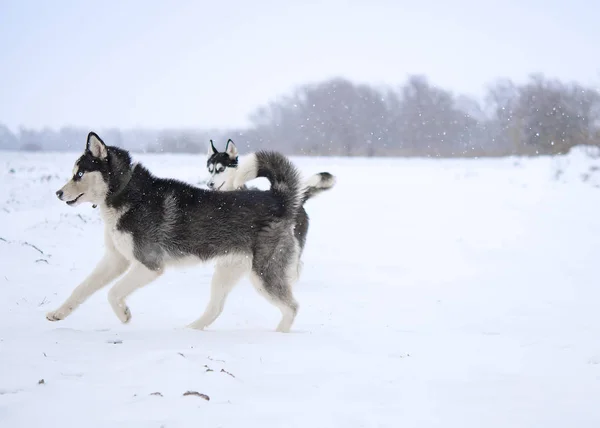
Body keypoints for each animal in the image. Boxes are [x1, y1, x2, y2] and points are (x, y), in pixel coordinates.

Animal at [47, 132, 310, 332]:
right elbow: (82, 288)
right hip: (227, 271)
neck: (125, 192)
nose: (58, 193)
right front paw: (58, 313)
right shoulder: (115, 259)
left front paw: (124, 314)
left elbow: (113, 292)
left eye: (80, 174)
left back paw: (278, 336)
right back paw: (190, 331)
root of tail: (277, 198)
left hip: (263, 275)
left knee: (292, 307)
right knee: (216, 308)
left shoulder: (150, 265)